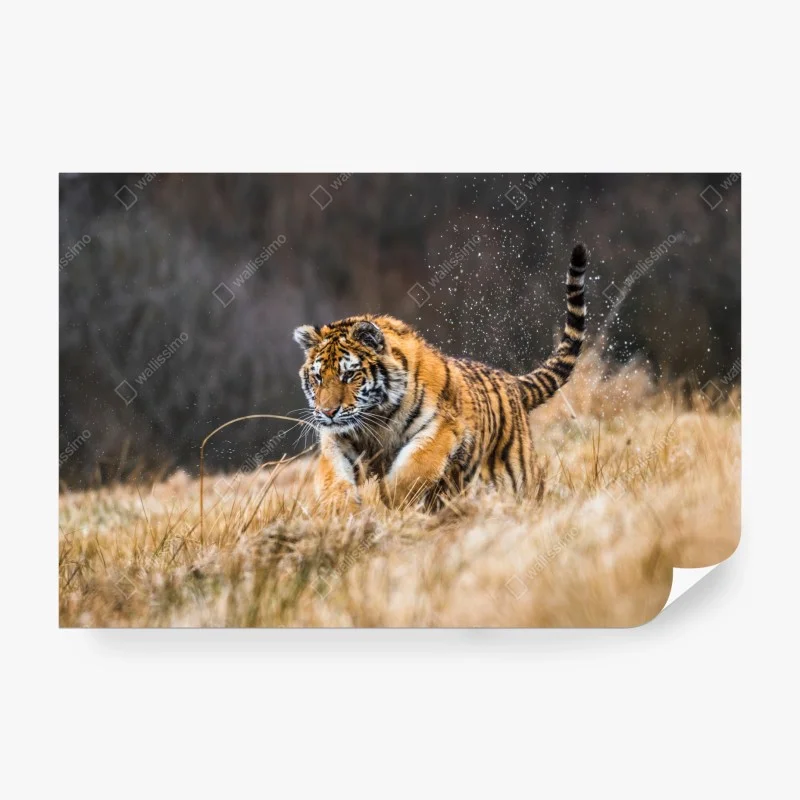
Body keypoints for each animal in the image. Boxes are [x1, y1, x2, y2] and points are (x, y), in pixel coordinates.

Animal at [293, 243, 588, 510]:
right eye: (318, 378)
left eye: (350, 375)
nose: (328, 412)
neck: (376, 421)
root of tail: (512, 381)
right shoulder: (337, 440)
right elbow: (333, 478)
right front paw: (342, 512)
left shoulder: (442, 428)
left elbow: (414, 469)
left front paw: (389, 500)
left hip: (519, 475)